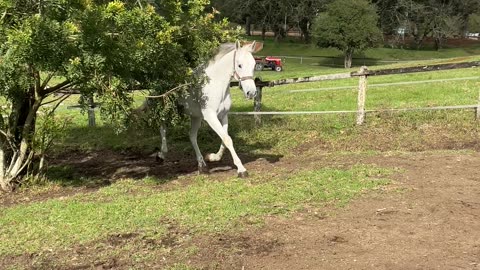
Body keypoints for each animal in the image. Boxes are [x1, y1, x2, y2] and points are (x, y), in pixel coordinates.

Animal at [156, 40, 260, 177]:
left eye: (254, 65)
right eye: (239, 65)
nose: (251, 93)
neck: (216, 84)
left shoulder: (223, 115)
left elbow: (225, 138)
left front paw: (212, 157)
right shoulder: (210, 117)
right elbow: (227, 139)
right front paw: (241, 169)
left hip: (195, 116)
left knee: (192, 136)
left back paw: (202, 165)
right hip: (166, 109)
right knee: (162, 126)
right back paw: (161, 155)